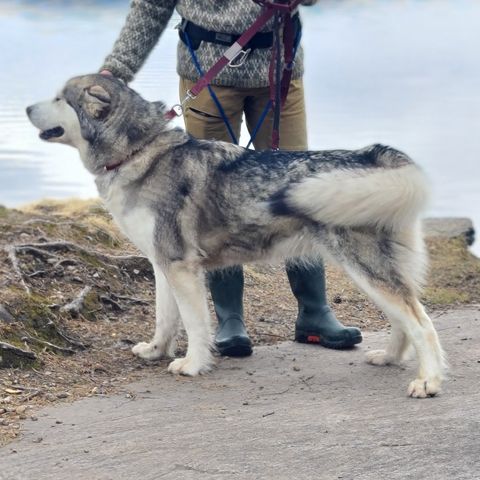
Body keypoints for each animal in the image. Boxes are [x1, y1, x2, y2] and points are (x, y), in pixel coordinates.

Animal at [26, 75, 446, 398]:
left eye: (61, 98)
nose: (28, 108)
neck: (139, 152)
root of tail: (374, 155)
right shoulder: (162, 266)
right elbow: (165, 319)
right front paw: (156, 351)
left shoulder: (181, 268)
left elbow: (195, 324)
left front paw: (193, 364)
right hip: (375, 273)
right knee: (404, 320)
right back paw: (390, 357)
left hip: (366, 269)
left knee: (421, 323)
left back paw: (428, 381)